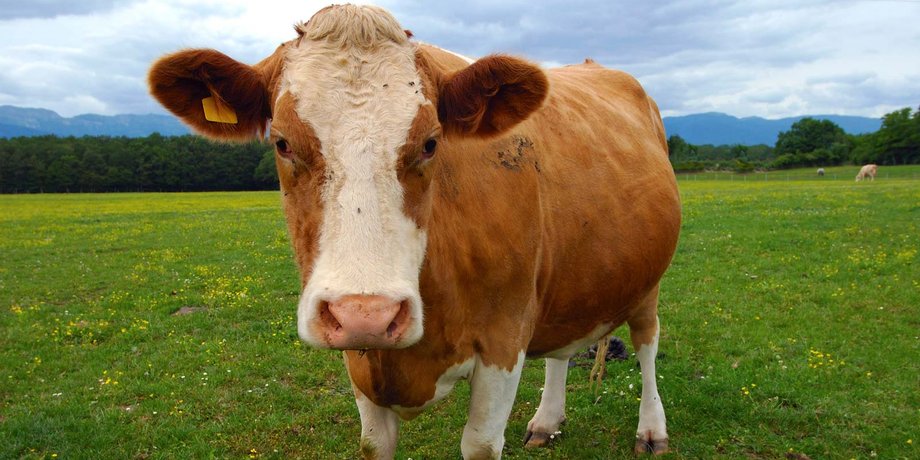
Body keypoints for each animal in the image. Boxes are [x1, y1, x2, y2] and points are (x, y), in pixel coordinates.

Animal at [148, 5, 681, 458]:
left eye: (430, 143)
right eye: (281, 142)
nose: (366, 314)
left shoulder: (504, 339)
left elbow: (480, 444)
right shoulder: (361, 362)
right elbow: (373, 443)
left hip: (649, 281)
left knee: (647, 343)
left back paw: (652, 430)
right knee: (561, 351)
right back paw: (547, 420)